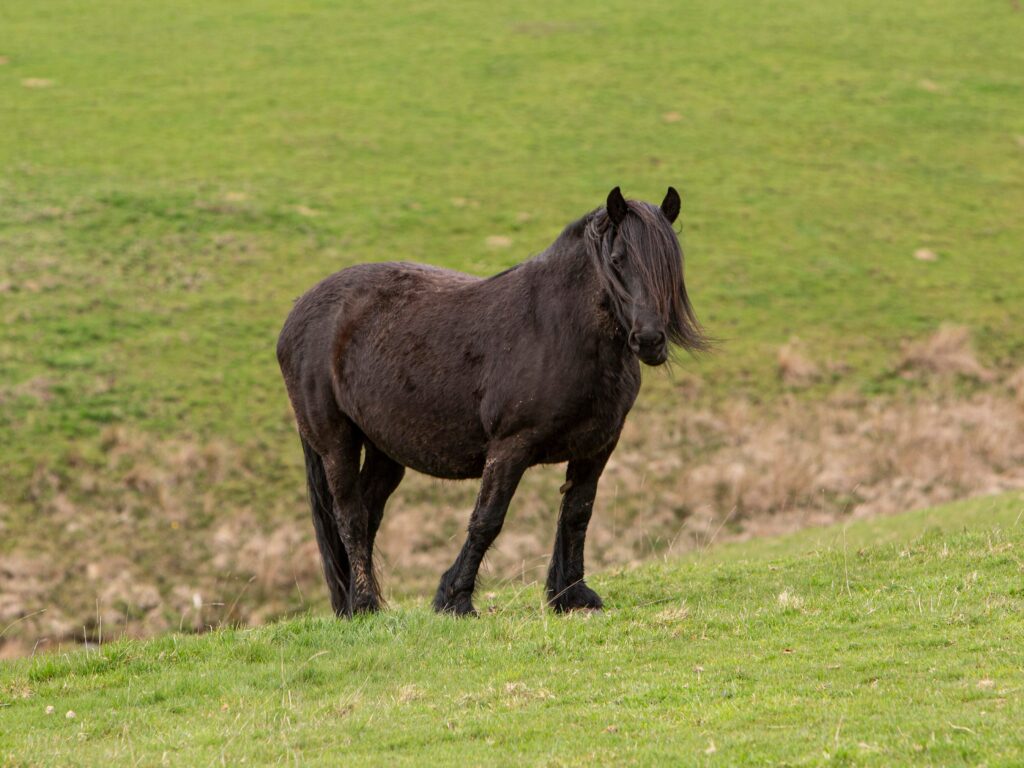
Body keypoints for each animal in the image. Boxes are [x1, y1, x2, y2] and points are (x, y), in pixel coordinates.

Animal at [276, 187, 706, 617]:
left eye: (672, 261)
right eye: (617, 260)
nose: (649, 340)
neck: (558, 329)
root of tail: (299, 310)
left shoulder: (597, 447)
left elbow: (576, 515)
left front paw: (571, 595)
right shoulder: (511, 446)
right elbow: (487, 519)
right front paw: (455, 599)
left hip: (385, 450)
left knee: (367, 514)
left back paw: (355, 605)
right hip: (336, 444)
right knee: (349, 516)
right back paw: (365, 605)